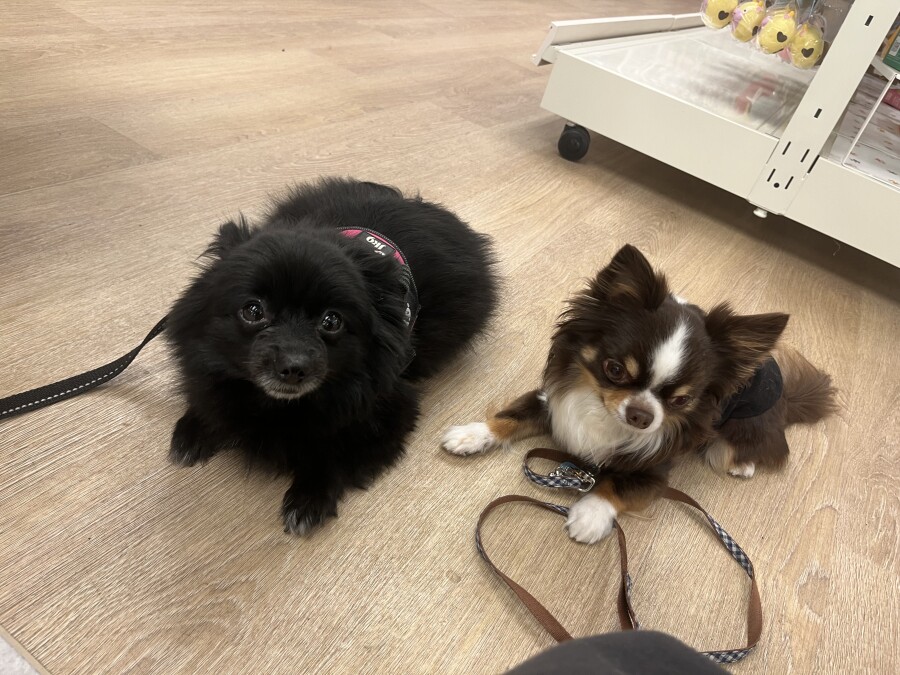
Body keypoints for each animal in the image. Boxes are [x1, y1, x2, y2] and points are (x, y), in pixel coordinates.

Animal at [167, 177, 498, 534]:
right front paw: (195, 428)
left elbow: (333, 453)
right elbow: (210, 397)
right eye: (253, 311)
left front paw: (309, 498)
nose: (293, 366)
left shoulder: (391, 409)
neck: (278, 405)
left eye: (331, 321)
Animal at [442, 244, 836, 543]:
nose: (641, 416)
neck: (601, 412)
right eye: (615, 370)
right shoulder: (550, 403)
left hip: (743, 428)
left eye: (681, 400)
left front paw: (590, 514)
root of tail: (785, 399)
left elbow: (617, 485)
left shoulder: (653, 471)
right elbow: (513, 414)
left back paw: (743, 463)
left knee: (755, 447)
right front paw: (473, 434)